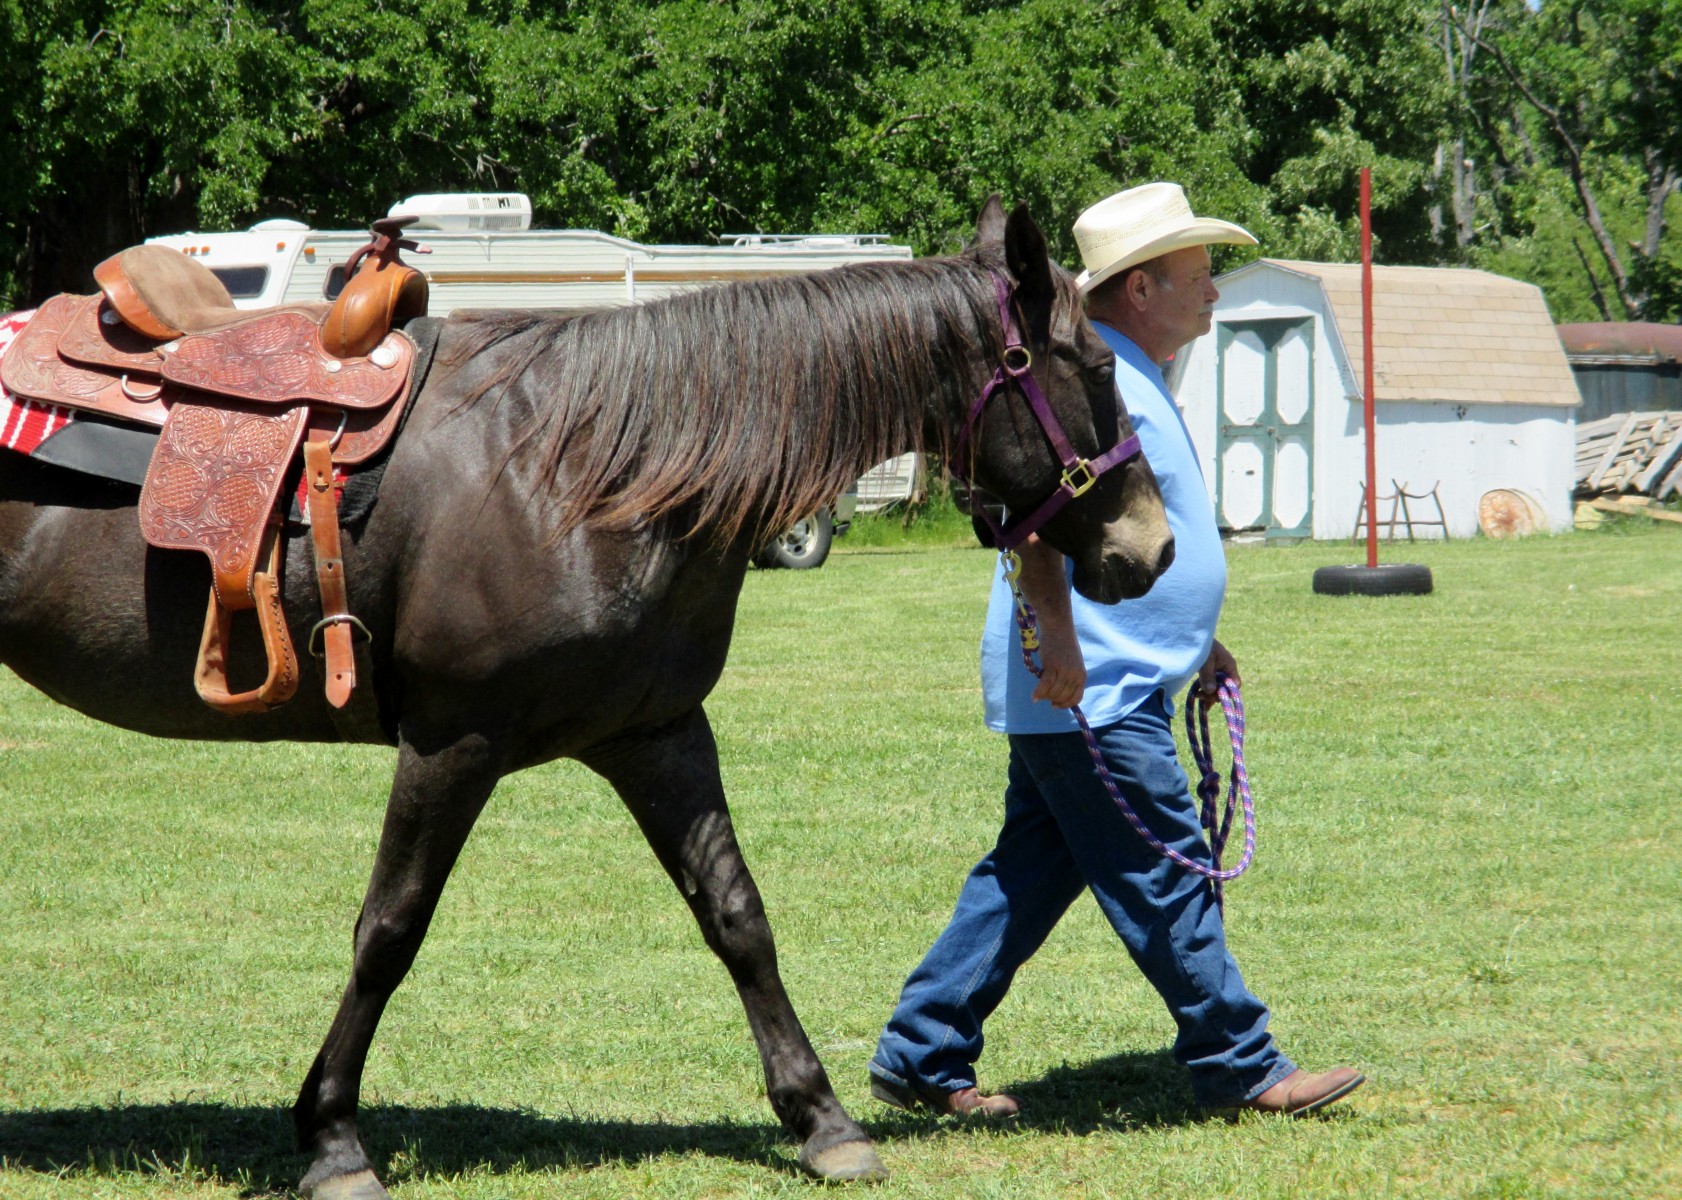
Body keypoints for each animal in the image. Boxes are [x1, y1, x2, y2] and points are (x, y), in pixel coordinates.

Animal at [0, 197, 1174, 1198]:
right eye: (1096, 364)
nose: (1152, 547)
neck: (583, 471)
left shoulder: (658, 734)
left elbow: (737, 916)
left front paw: (822, 1120)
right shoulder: (452, 742)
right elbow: (389, 929)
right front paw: (332, 1137)